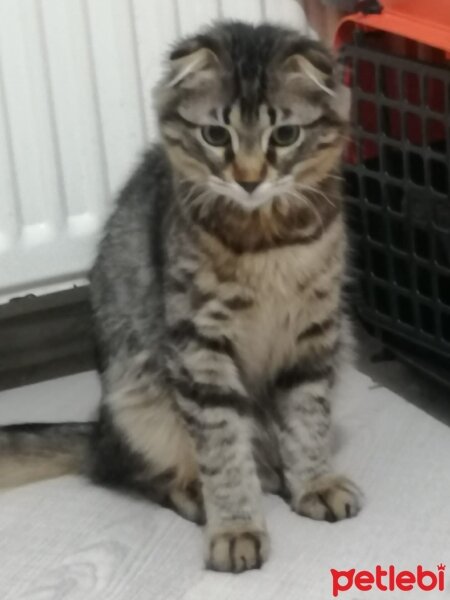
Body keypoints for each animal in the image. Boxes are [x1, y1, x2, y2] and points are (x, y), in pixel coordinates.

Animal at [0, 22, 362, 572]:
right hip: (137, 391)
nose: (249, 180)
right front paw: (236, 528)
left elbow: (307, 424)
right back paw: (201, 494)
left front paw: (314, 483)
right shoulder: (201, 343)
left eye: (285, 136)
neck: (267, 241)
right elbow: (223, 451)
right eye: (216, 135)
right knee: (146, 473)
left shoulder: (314, 336)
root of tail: (99, 432)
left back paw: (277, 474)